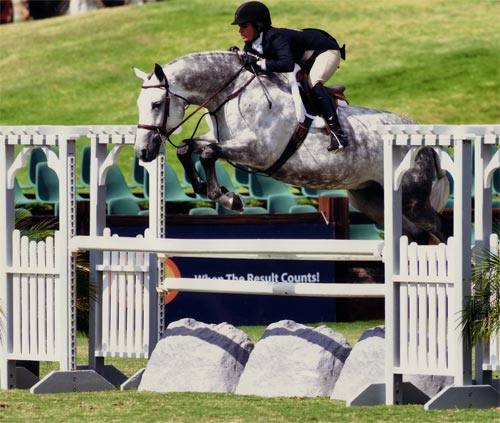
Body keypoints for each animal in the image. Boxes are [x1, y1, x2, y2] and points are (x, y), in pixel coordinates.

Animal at [135, 51, 452, 243]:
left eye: (156, 104)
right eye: (139, 104)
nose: (142, 153)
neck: (233, 92)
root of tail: (425, 142)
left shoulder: (258, 151)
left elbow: (208, 152)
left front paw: (225, 197)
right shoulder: (227, 141)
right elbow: (187, 148)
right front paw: (217, 192)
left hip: (412, 199)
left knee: (438, 229)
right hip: (373, 199)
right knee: (417, 236)